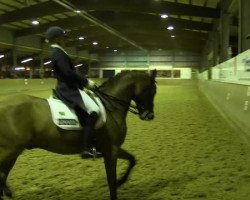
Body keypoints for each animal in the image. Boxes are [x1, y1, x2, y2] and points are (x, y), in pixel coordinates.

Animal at [0, 69, 156, 199]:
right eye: (151, 91)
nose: (149, 116)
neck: (111, 107)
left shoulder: (112, 148)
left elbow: (132, 159)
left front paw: (121, 182)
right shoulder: (111, 150)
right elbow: (111, 180)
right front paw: (117, 184)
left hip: (12, 153)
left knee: (3, 177)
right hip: (10, 151)